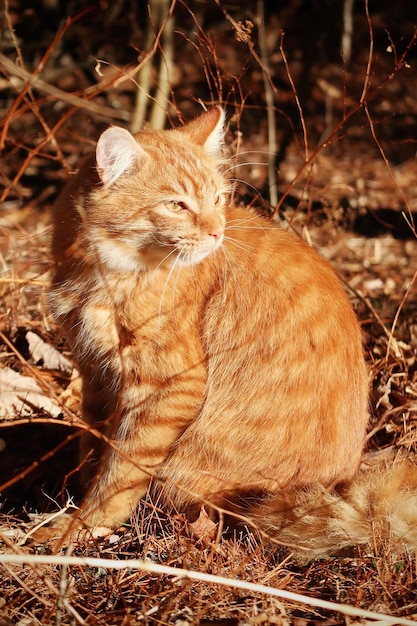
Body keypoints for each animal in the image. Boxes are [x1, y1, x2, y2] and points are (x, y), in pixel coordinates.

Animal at [50, 107, 414, 552]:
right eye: (177, 205)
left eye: (218, 199)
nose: (216, 232)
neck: (105, 276)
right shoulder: (96, 377)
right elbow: (93, 449)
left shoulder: (167, 389)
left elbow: (118, 476)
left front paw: (76, 530)